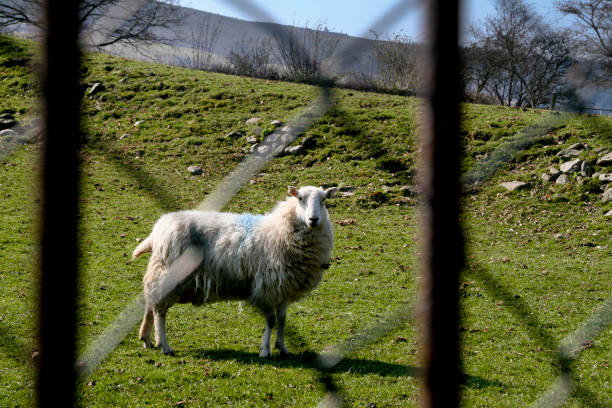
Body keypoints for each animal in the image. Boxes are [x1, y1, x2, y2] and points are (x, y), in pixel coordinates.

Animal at [132, 185, 340, 356]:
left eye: (323, 200)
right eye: (300, 199)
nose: (314, 219)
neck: (280, 230)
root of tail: (159, 229)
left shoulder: (283, 290)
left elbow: (281, 320)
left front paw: (282, 348)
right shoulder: (266, 288)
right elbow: (271, 320)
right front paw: (265, 351)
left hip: (162, 274)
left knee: (150, 304)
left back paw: (146, 339)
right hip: (170, 275)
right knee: (159, 312)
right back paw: (164, 345)